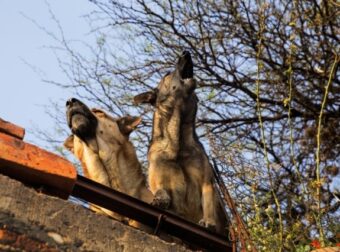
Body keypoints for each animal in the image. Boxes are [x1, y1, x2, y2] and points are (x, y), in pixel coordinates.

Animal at [133, 51, 228, 236]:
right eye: (167, 74)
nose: (186, 52)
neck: (177, 141)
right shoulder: (157, 178)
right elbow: (160, 190)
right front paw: (160, 199)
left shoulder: (206, 182)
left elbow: (208, 204)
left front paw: (208, 222)